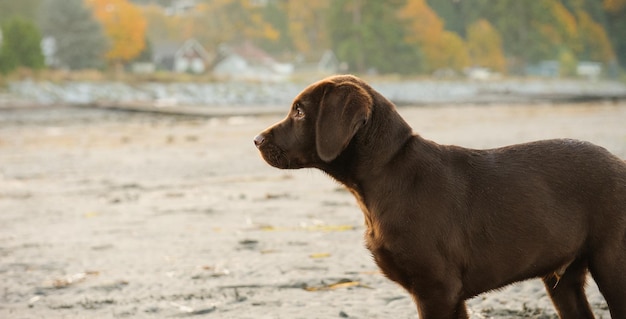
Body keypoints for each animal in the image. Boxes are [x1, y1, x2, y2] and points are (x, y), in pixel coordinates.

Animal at [252, 75, 624, 319]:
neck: (387, 173)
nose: (256, 140)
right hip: (564, 279)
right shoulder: (450, 294)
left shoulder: (436, 289)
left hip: (612, 264)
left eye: (300, 112)